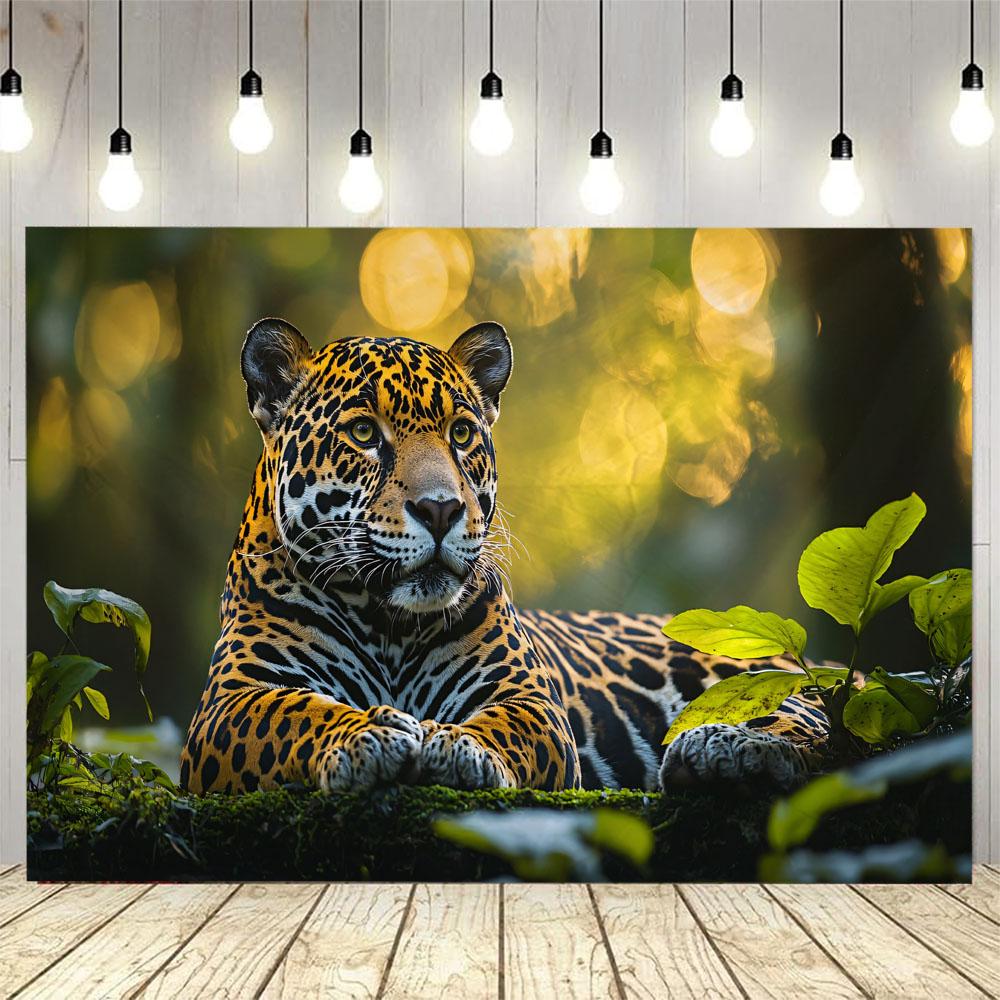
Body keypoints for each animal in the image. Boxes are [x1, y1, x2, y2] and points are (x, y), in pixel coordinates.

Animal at [180, 317, 830, 796]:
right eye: (363, 433)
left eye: (462, 434)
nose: (440, 510)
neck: (387, 623)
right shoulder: (231, 703)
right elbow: (294, 712)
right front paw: (366, 734)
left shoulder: (527, 697)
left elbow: (505, 727)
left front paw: (460, 747)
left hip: (759, 675)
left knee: (811, 725)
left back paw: (727, 749)